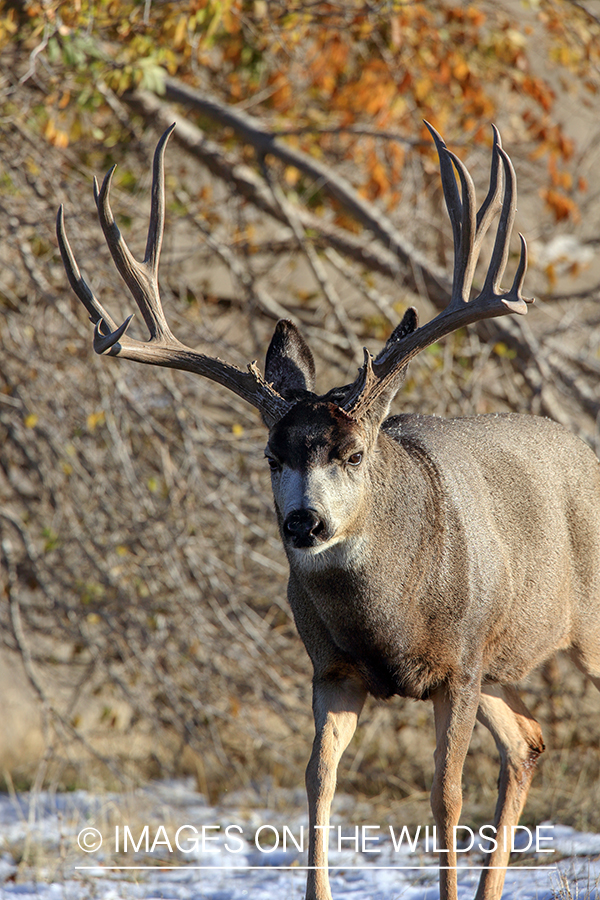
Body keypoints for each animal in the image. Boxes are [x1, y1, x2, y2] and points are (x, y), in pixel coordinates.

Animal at [57, 125, 600, 900]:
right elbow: (318, 783)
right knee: (527, 740)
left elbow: (446, 795)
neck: (388, 617)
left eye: (354, 453)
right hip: (498, 667)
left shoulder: (460, 664)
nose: (304, 523)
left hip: (563, 634)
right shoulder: (333, 669)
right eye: (269, 456)